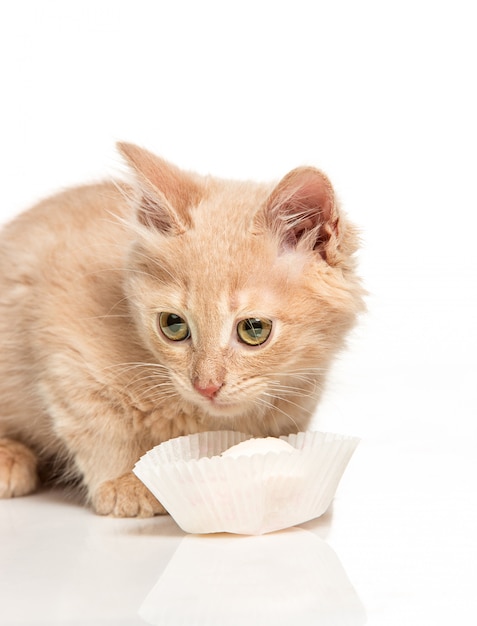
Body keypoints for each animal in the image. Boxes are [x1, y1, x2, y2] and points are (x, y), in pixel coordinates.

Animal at [0, 144, 362, 516]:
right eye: (173, 325)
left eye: (254, 329)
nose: (206, 386)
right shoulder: (64, 349)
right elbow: (100, 428)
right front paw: (124, 482)